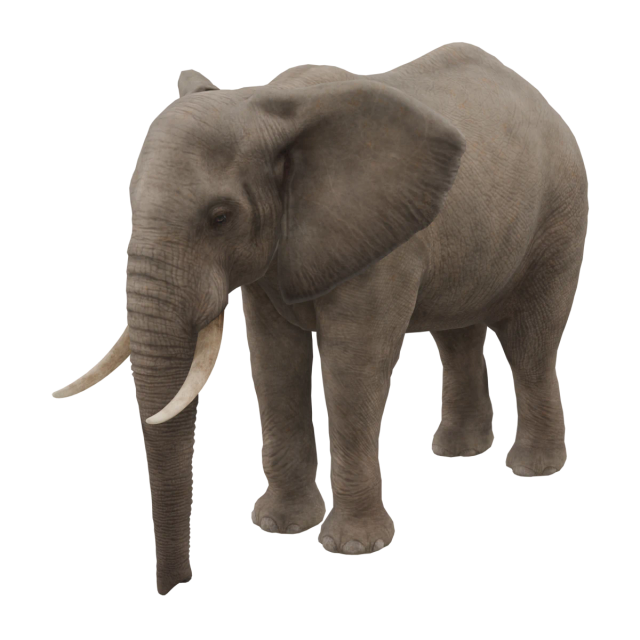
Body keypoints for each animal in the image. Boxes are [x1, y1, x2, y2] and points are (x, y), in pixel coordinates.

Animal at [51, 43, 589, 596]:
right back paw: (458, 453)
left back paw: (532, 468)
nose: (178, 585)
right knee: (456, 335)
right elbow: (275, 361)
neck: (269, 106)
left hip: (561, 212)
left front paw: (352, 548)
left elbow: (352, 366)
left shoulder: (380, 245)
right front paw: (279, 527)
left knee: (529, 342)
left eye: (221, 217)